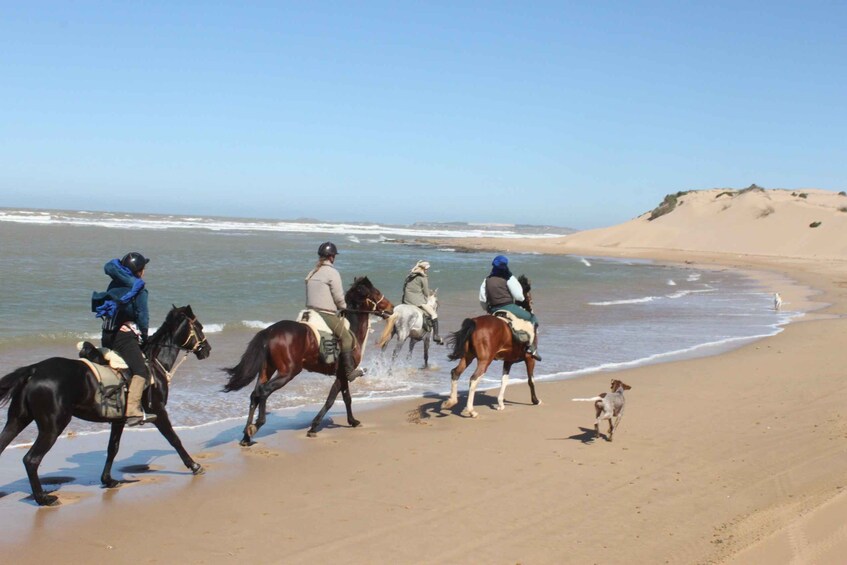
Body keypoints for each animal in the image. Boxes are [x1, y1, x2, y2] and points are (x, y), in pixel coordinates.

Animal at [0, 306, 211, 504]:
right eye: (200, 327)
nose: (207, 349)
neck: (154, 363)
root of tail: (34, 370)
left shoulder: (118, 420)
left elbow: (113, 448)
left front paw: (108, 480)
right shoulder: (158, 411)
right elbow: (174, 439)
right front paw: (194, 466)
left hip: (17, 420)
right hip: (52, 427)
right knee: (31, 460)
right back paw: (43, 498)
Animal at [222, 276, 394, 442]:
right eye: (376, 292)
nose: (391, 307)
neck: (351, 329)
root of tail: (270, 330)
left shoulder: (342, 375)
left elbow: (346, 398)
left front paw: (352, 421)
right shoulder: (343, 374)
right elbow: (333, 399)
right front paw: (315, 426)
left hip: (267, 369)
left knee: (255, 394)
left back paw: (246, 435)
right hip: (288, 372)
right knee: (264, 391)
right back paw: (256, 425)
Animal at [440, 276, 540, 416]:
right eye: (528, 292)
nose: (531, 304)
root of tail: (474, 322)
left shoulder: (508, 361)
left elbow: (504, 381)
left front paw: (500, 404)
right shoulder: (529, 358)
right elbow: (531, 380)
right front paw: (535, 400)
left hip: (467, 356)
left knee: (455, 372)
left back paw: (450, 402)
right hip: (485, 360)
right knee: (474, 379)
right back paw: (471, 411)